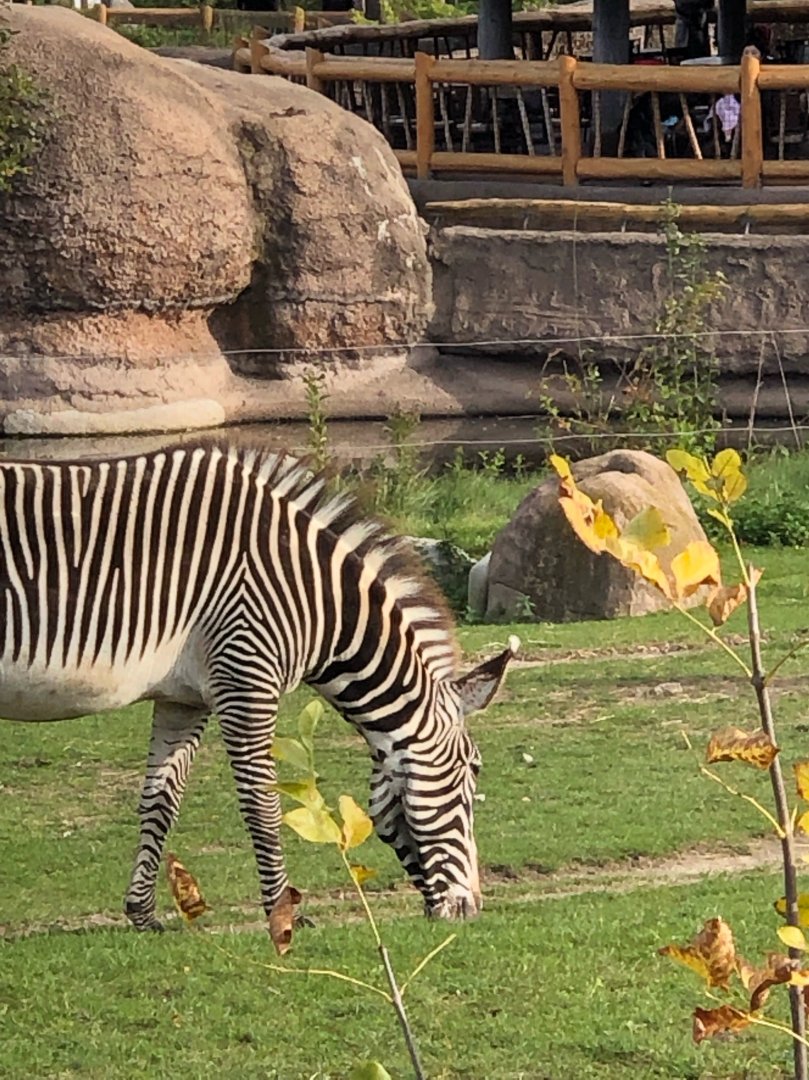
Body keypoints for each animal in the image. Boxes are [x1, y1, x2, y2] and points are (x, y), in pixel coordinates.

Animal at [0, 442, 517, 928]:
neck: (317, 598)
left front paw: (142, 912)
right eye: (473, 772)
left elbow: (160, 799)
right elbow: (262, 804)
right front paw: (283, 912)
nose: (471, 909)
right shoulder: (245, 675)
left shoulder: (184, 697)